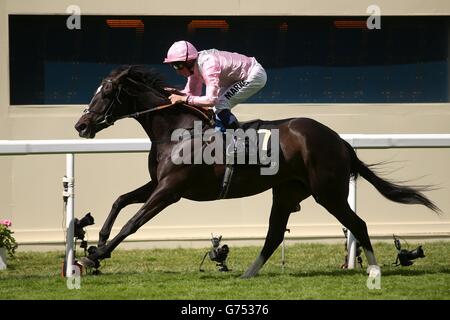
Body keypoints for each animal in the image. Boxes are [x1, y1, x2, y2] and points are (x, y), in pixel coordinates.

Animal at [74, 65, 440, 278]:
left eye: (107, 92)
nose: (81, 125)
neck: (177, 130)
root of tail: (338, 140)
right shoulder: (159, 183)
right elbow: (121, 200)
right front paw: (98, 242)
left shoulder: (171, 190)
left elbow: (134, 222)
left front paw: (95, 256)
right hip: (288, 191)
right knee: (275, 233)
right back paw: (248, 273)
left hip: (328, 192)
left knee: (358, 224)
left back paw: (375, 269)